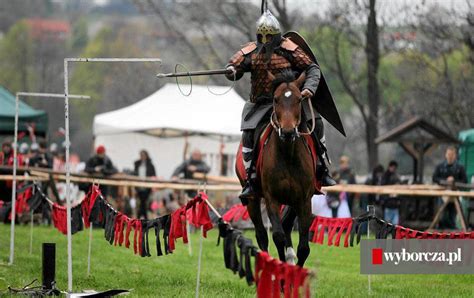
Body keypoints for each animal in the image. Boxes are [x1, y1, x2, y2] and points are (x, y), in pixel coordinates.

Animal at [239, 70, 316, 268]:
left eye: (299, 99)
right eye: (275, 99)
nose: (288, 132)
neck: (287, 154)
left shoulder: (304, 200)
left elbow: (304, 247)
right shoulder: (271, 198)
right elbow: (278, 236)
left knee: (286, 225)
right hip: (252, 199)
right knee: (261, 234)